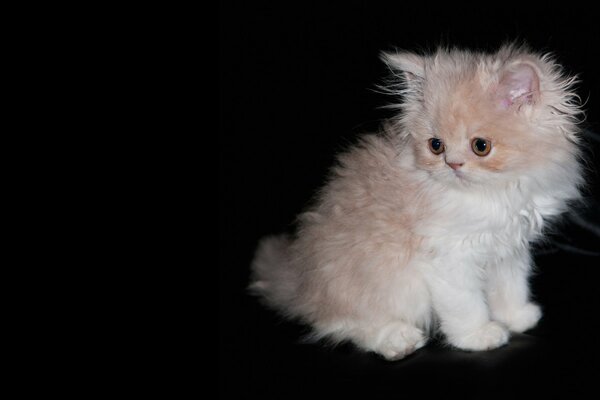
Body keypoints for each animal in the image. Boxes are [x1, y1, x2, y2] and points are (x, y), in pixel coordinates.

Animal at [247, 45, 580, 360]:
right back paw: (397, 341)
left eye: (481, 146)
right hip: (379, 286)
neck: (494, 194)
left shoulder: (508, 250)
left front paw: (516, 317)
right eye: (436, 146)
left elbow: (510, 287)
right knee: (342, 323)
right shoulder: (450, 257)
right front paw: (479, 336)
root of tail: (300, 279)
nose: (452, 164)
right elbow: (466, 305)